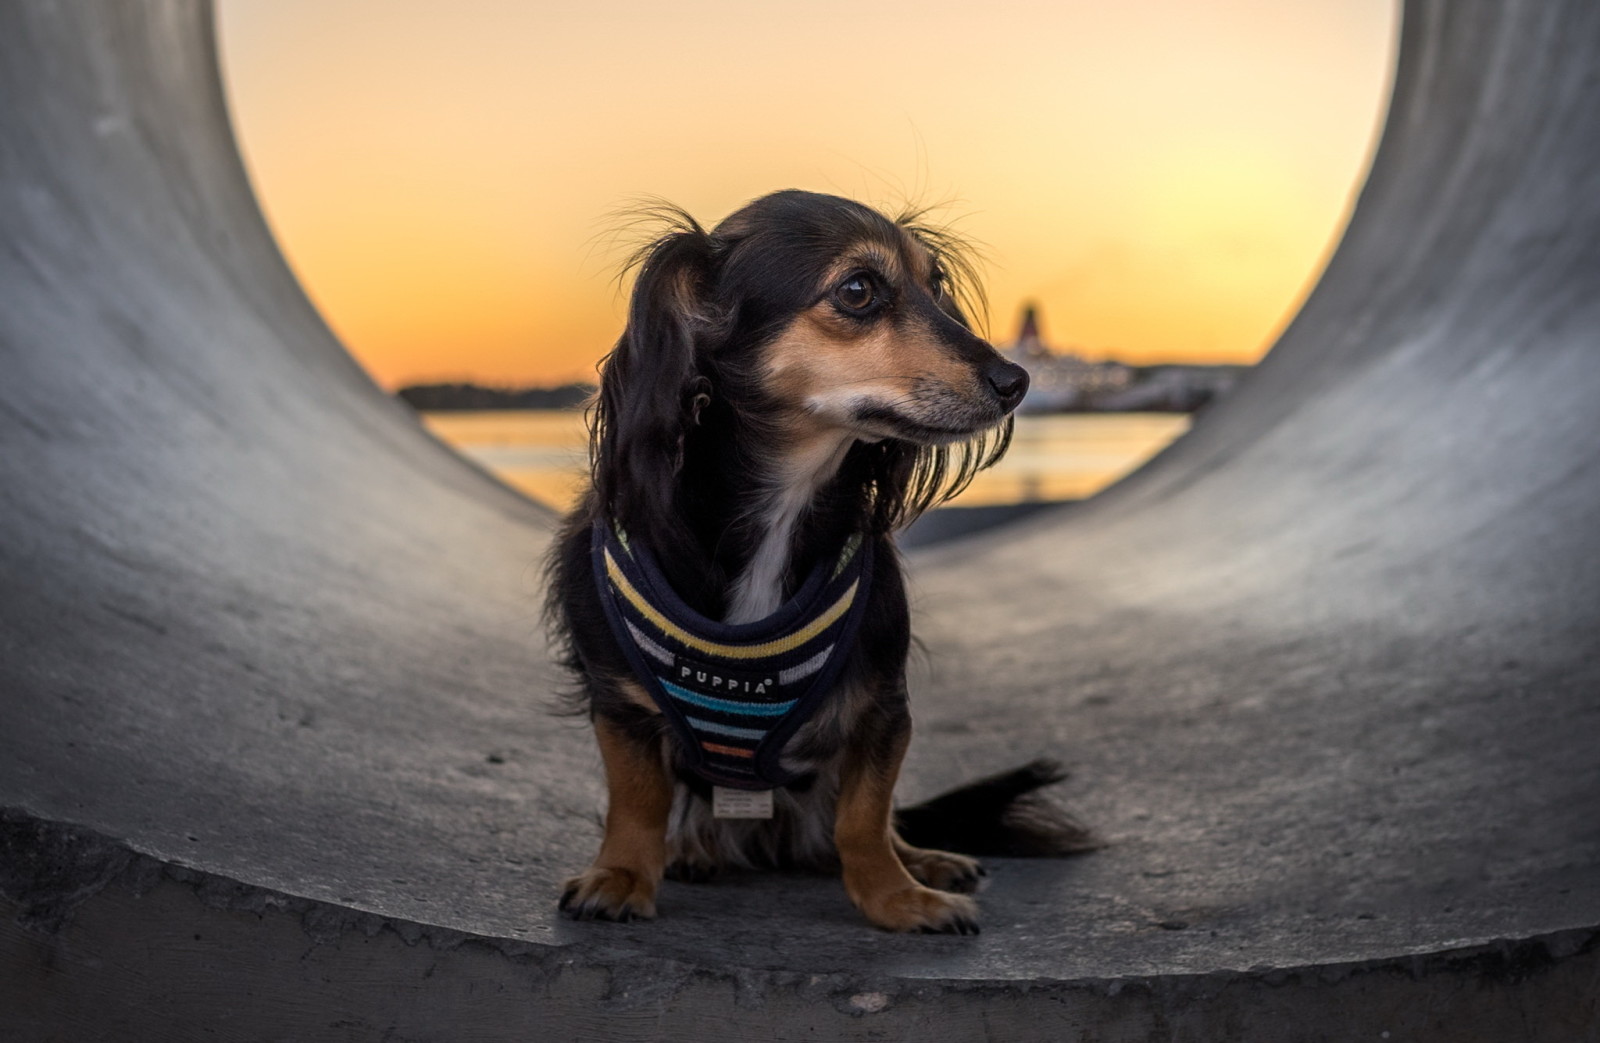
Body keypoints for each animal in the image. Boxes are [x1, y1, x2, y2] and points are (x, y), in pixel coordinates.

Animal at [547, 189, 1088, 934]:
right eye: (858, 290)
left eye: (936, 286)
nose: (1017, 380)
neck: (785, 502)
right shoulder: (618, 702)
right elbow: (636, 800)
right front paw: (623, 874)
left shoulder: (880, 706)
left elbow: (864, 817)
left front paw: (896, 896)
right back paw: (690, 849)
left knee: (874, 823)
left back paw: (926, 860)